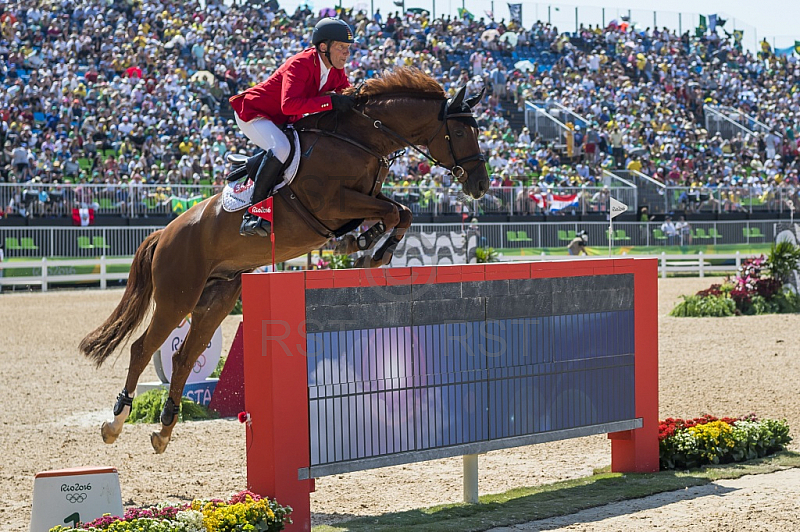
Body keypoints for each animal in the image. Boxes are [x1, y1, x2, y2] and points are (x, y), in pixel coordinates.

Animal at [79, 68, 488, 454]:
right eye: (461, 132)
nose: (481, 185)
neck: (360, 139)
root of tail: (164, 232)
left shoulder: (360, 201)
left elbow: (400, 212)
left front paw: (369, 246)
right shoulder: (333, 204)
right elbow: (392, 211)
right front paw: (371, 247)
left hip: (216, 298)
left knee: (183, 357)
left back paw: (164, 429)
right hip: (177, 296)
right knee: (142, 348)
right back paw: (116, 422)